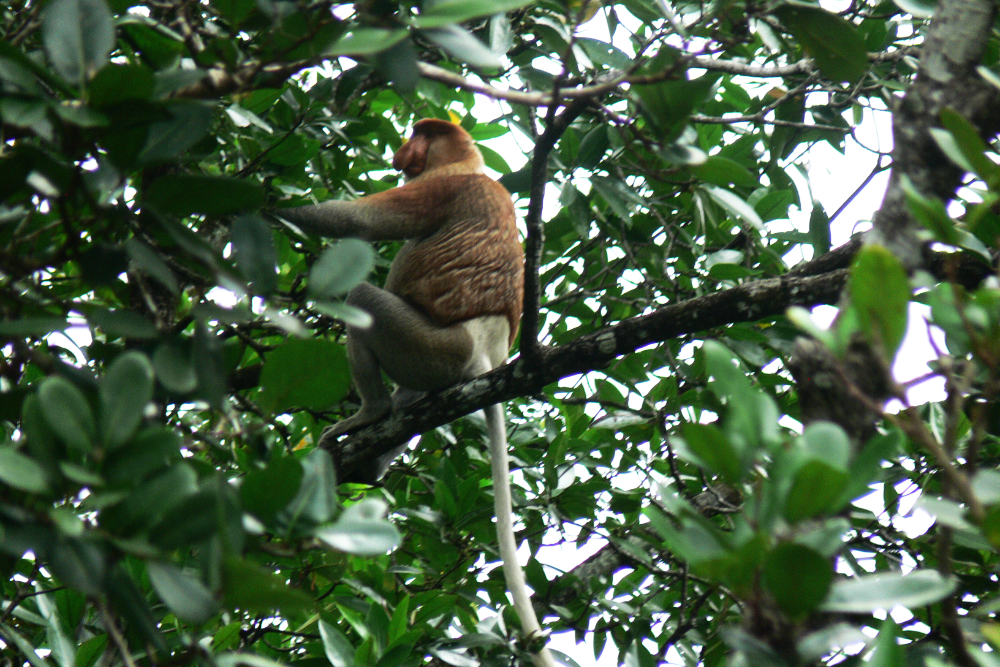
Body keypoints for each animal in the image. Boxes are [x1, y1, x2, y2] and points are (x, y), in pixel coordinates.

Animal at [276, 119, 557, 667]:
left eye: (421, 135)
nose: (403, 151)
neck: (472, 164)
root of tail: (488, 354)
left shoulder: (439, 186)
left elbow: (357, 219)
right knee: (412, 405)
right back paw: (374, 456)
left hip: (433, 348)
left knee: (364, 298)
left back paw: (369, 414)